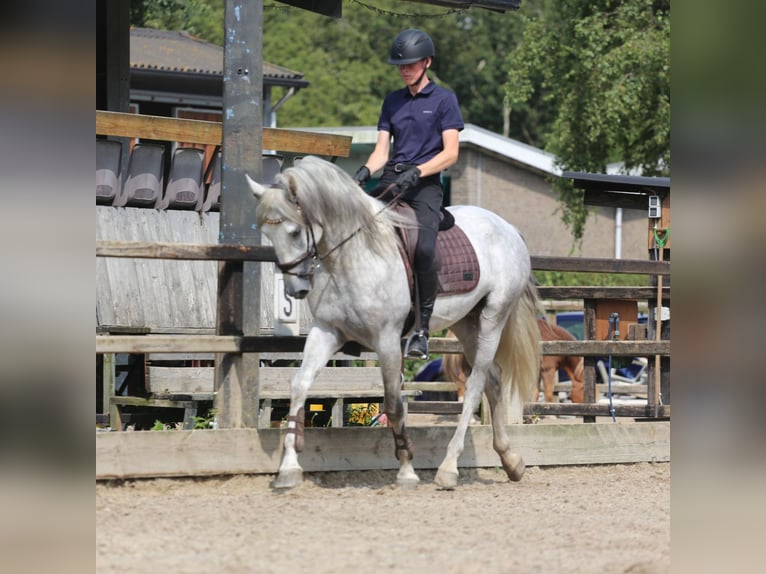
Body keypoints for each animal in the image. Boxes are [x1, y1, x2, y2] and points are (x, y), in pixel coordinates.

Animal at [440, 320, 584, 404]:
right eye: (583, 387)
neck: (554, 338)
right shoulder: (548, 370)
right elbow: (548, 394)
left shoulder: (536, 371)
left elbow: (535, 392)